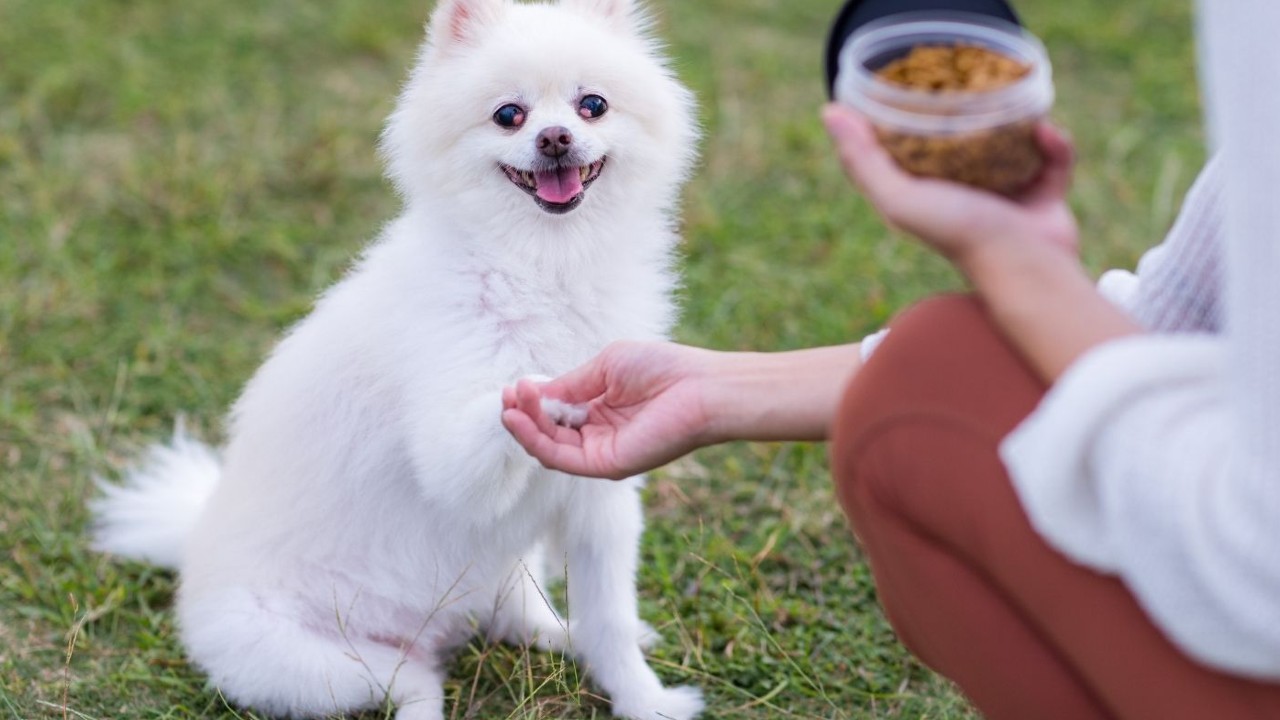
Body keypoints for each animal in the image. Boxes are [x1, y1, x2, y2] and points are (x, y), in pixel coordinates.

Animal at [92, 1, 701, 717]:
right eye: (509, 115)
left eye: (593, 105)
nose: (554, 137)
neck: (542, 262)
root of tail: (191, 546)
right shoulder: (450, 454)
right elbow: (487, 423)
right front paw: (550, 389)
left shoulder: (600, 503)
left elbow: (610, 619)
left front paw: (645, 700)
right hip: (328, 663)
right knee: (416, 687)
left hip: (498, 573)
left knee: (516, 614)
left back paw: (556, 633)